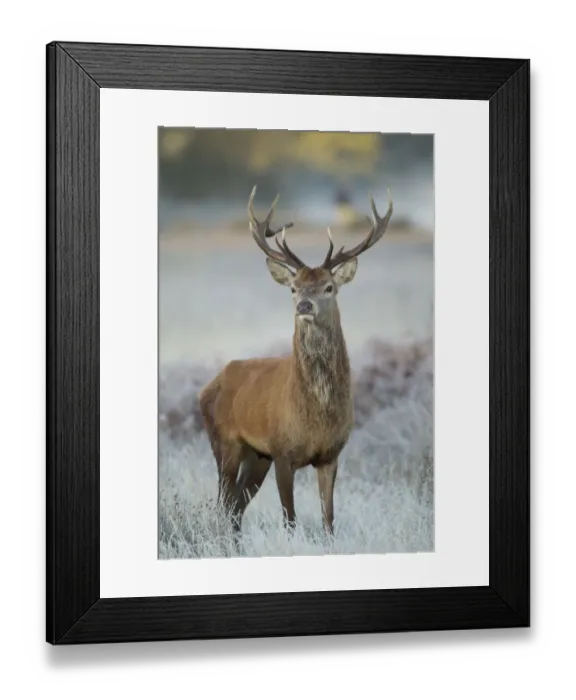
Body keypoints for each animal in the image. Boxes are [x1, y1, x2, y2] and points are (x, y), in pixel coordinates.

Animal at [198, 185, 393, 537]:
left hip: (256, 456)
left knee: (236, 506)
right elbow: (290, 520)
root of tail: (209, 385)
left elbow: (329, 520)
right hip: (223, 441)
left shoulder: (330, 455)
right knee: (223, 503)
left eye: (329, 287)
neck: (315, 417)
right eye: (293, 287)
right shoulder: (282, 452)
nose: (304, 305)